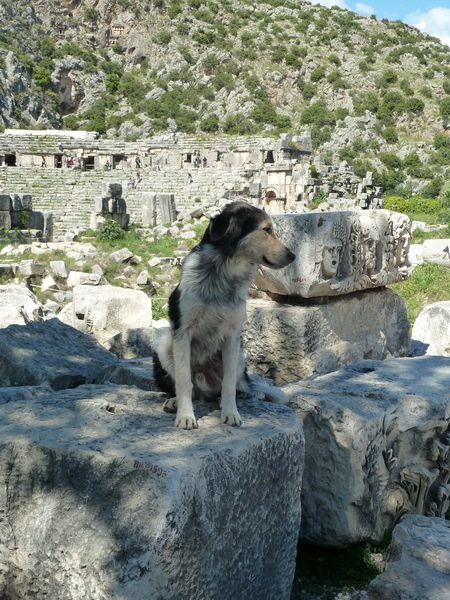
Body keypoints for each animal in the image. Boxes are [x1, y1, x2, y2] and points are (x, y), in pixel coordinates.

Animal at [153, 204, 298, 428]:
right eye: (266, 230)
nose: (293, 256)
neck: (224, 272)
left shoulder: (232, 335)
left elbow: (228, 382)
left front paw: (230, 413)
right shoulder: (182, 332)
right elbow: (184, 380)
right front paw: (185, 416)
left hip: (239, 356)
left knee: (233, 388)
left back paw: (227, 398)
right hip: (165, 343)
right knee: (192, 389)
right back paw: (175, 401)